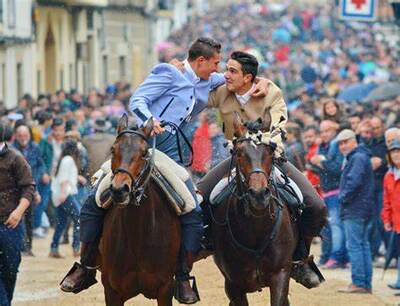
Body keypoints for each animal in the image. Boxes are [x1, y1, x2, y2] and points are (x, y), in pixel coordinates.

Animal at [212, 113, 296, 306]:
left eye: (270, 152)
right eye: (239, 153)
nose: (259, 195)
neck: (256, 229)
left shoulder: (280, 275)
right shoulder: (233, 284)